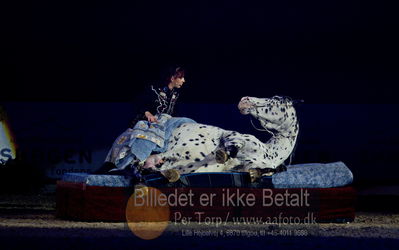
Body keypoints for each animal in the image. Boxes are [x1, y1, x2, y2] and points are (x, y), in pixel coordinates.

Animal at [144, 95, 300, 182]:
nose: (244, 100)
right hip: (174, 149)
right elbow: (229, 146)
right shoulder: (232, 137)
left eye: (276, 99)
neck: (269, 152)